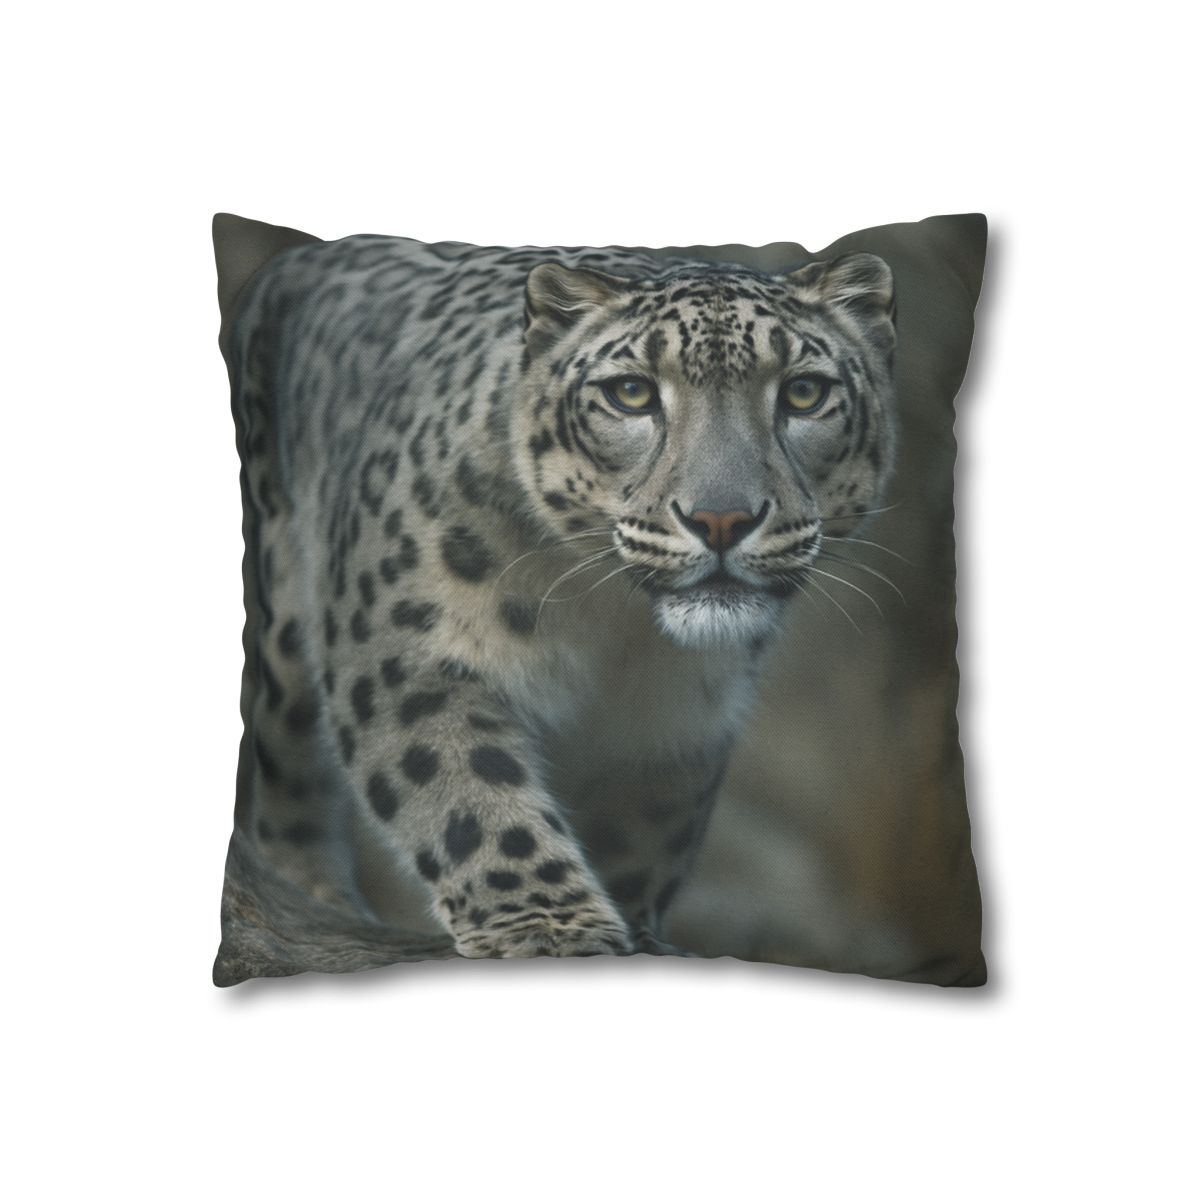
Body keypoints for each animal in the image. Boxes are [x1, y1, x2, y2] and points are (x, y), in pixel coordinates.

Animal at [228, 231, 897, 959]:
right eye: (631, 393)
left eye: (803, 393)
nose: (722, 519)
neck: (615, 629)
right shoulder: (407, 651)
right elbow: (464, 788)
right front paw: (549, 927)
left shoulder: (676, 727)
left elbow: (641, 834)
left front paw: (631, 928)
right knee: (284, 773)